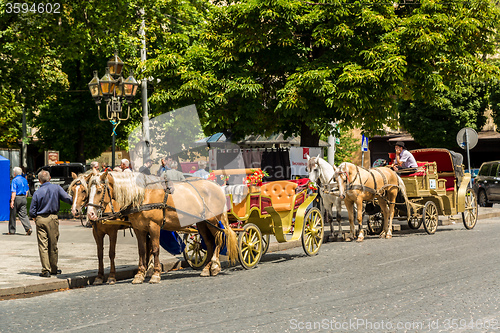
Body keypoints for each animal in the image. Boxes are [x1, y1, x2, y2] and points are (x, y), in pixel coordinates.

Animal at [86, 171, 238, 282]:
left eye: (99, 191)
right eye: (88, 191)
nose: (90, 214)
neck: (143, 195)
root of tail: (216, 185)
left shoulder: (154, 226)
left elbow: (155, 249)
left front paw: (155, 274)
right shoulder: (139, 229)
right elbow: (142, 251)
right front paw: (139, 275)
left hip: (213, 220)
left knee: (218, 240)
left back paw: (215, 265)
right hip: (202, 223)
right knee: (209, 243)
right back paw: (206, 268)